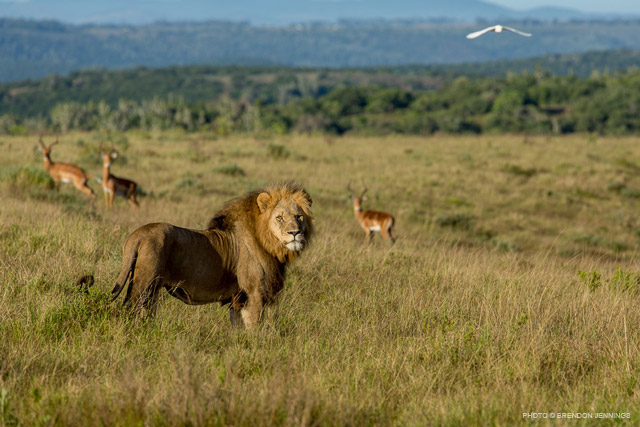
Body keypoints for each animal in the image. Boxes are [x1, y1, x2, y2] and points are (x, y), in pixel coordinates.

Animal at [110, 182, 316, 330]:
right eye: (279, 218)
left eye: (298, 216)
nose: (295, 233)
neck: (268, 243)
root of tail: (137, 235)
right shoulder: (254, 294)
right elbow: (254, 329)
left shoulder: (237, 299)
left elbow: (237, 328)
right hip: (144, 285)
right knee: (132, 312)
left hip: (150, 289)